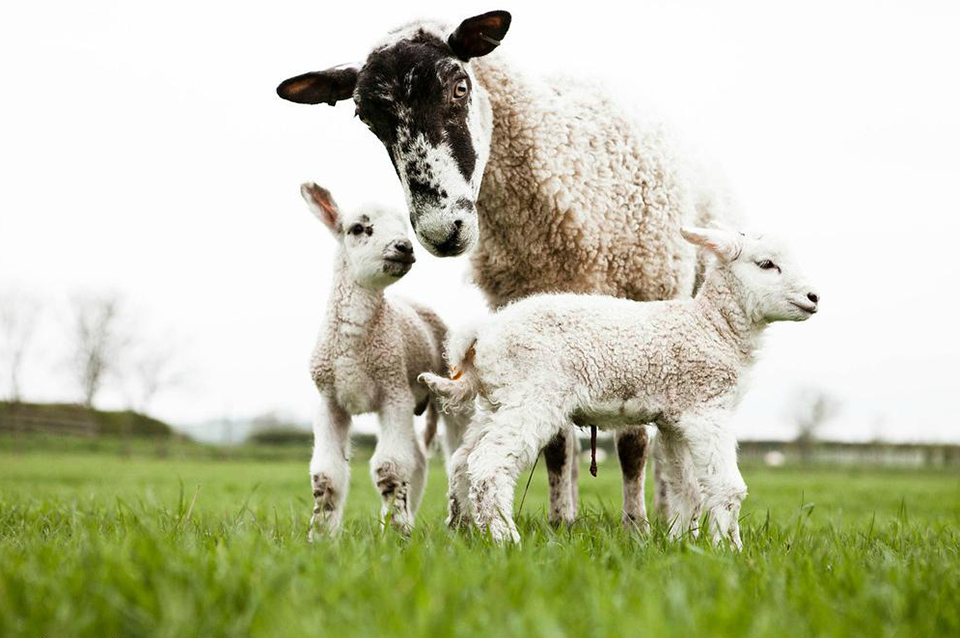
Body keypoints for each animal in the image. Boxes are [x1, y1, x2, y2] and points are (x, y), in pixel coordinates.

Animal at [298, 182, 466, 536]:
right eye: (358, 228)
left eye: (405, 228)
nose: (404, 247)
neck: (352, 348)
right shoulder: (329, 399)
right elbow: (326, 474)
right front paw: (320, 534)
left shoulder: (393, 389)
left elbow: (389, 467)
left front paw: (395, 531)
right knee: (419, 459)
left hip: (444, 391)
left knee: (455, 456)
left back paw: (458, 522)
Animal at [420, 228, 816, 548]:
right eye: (766, 264)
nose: (814, 297)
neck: (712, 326)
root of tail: (480, 333)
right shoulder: (707, 410)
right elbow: (728, 487)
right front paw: (729, 550)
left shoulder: (676, 420)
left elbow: (686, 488)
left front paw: (683, 544)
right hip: (532, 395)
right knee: (488, 465)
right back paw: (506, 539)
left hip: (497, 401)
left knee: (462, 462)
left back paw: (465, 531)